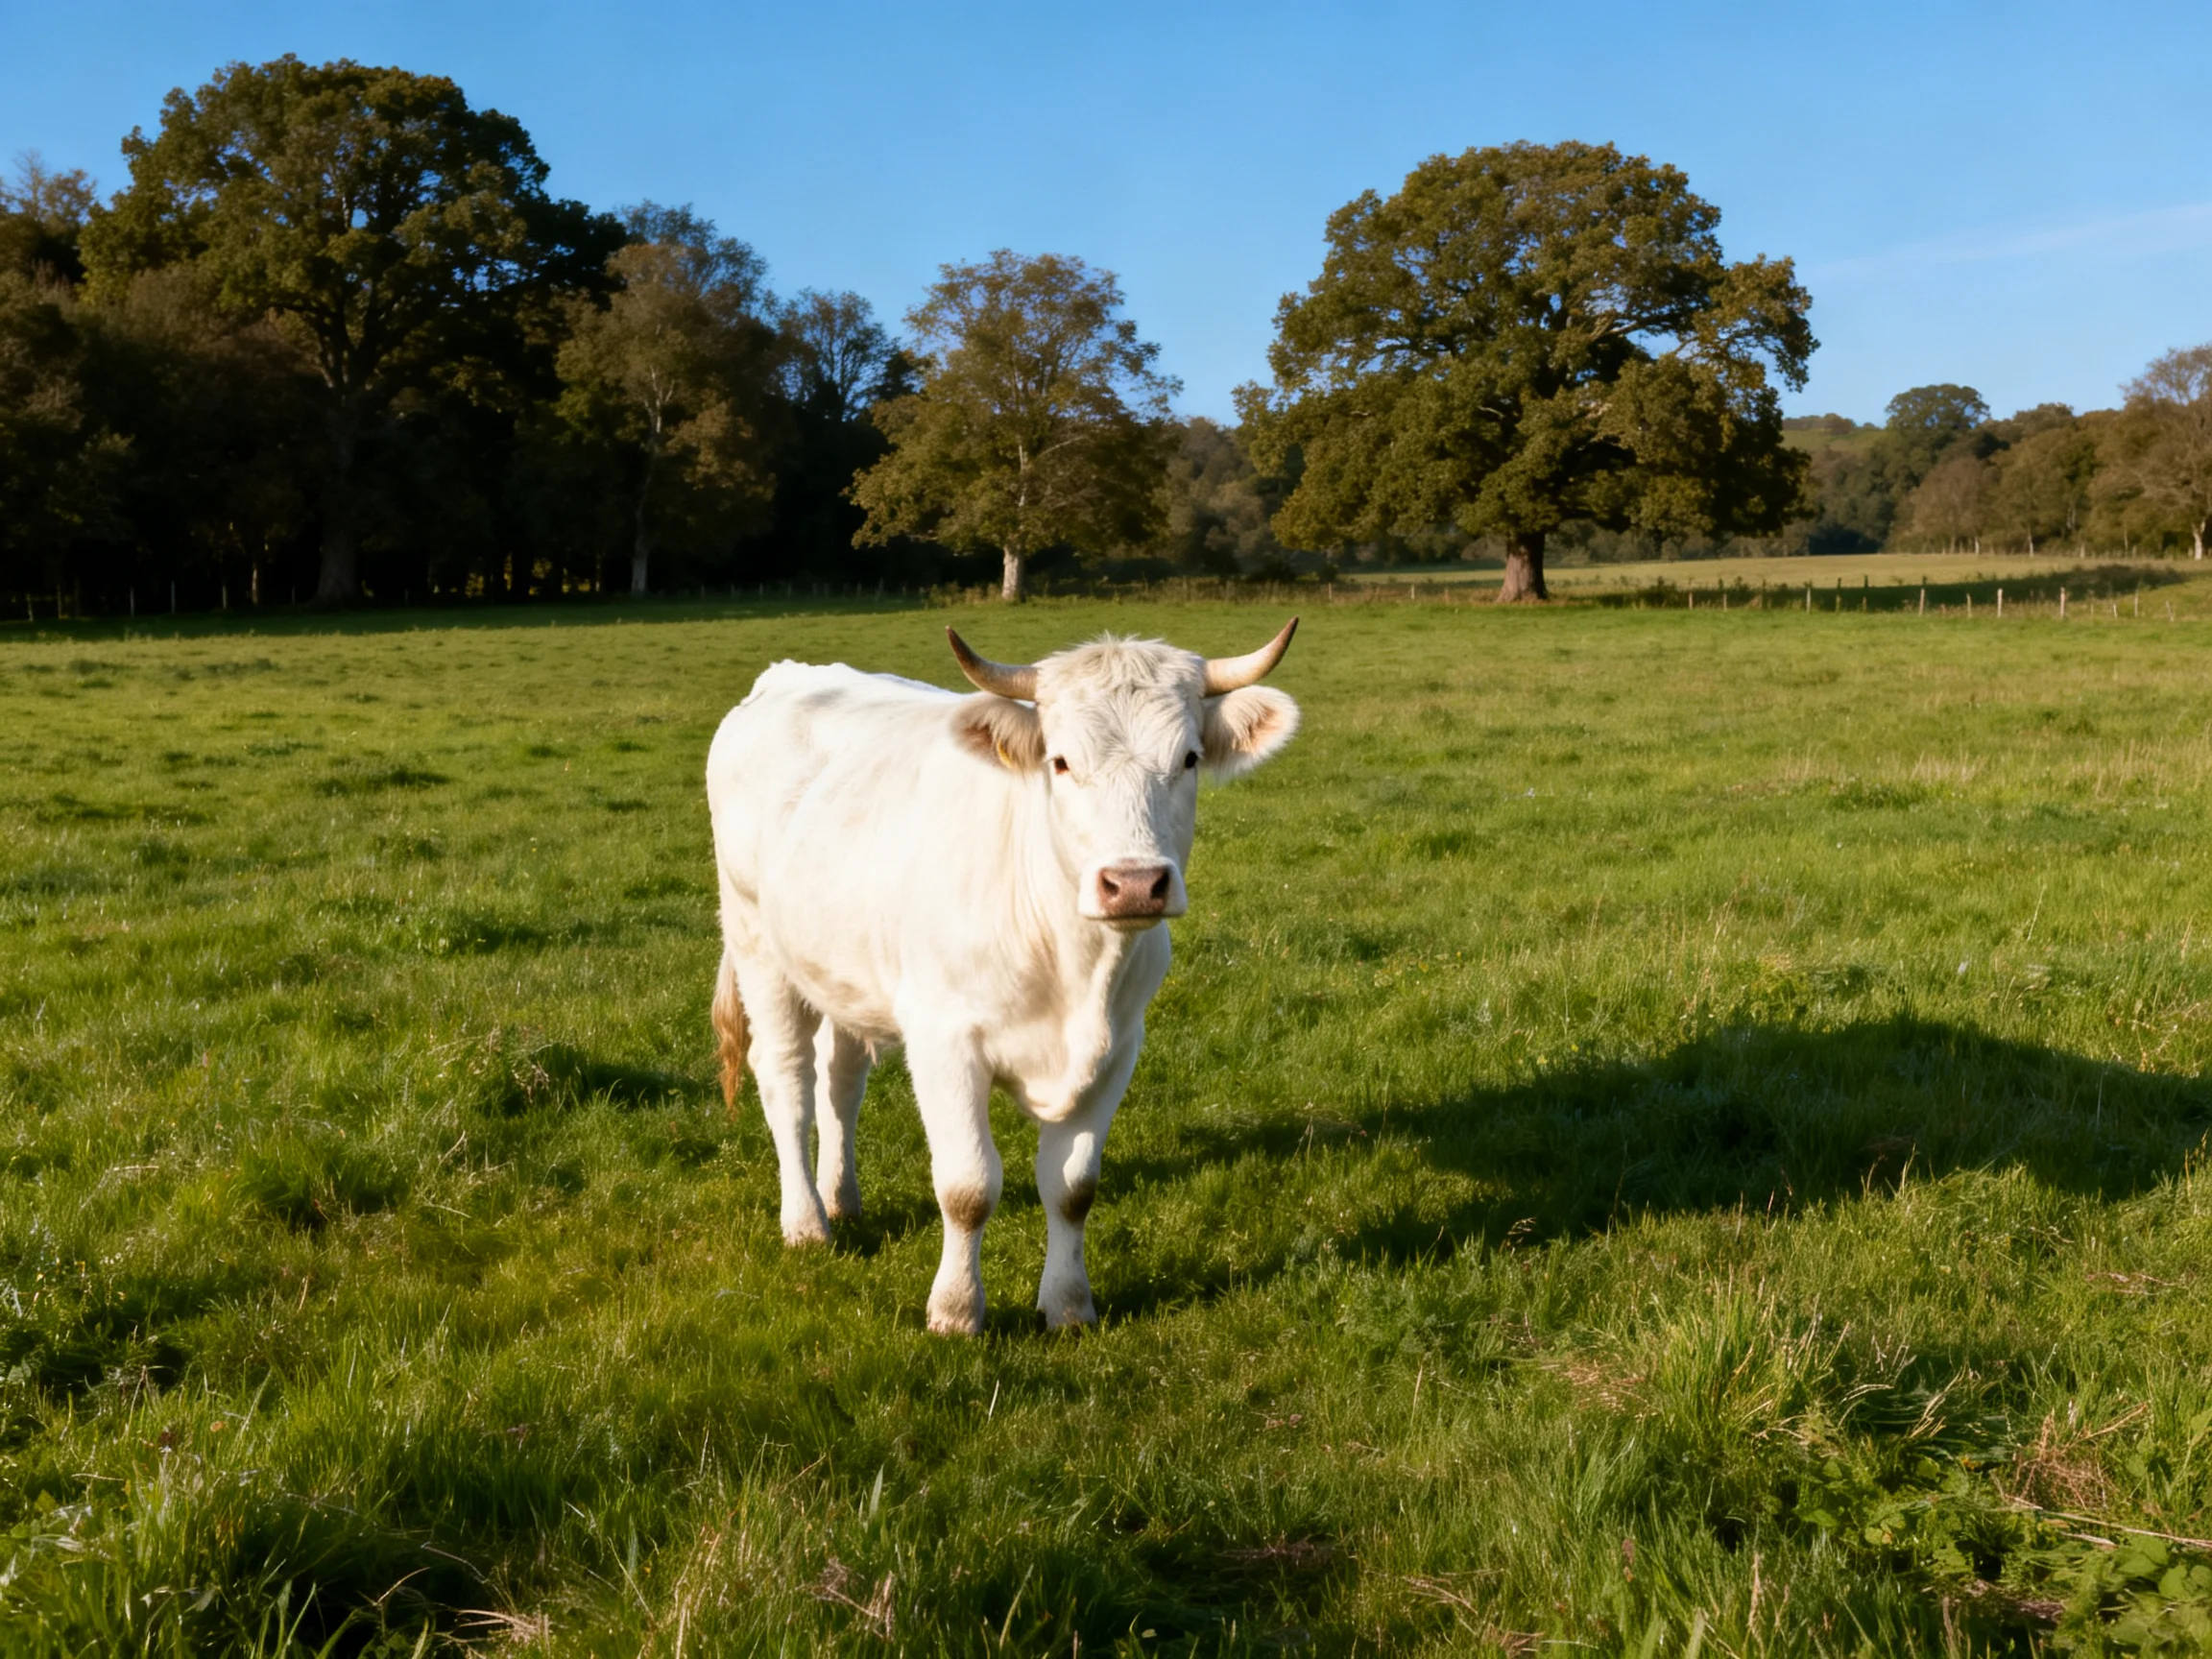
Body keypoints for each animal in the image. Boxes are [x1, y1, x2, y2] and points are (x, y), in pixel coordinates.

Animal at [704, 620, 1300, 1334]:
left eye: (1188, 759)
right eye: (1061, 762)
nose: (1133, 884)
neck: (1076, 968)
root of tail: (789, 673)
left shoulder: (1119, 1047)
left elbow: (1073, 1188)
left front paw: (1069, 1305)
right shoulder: (944, 1041)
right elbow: (968, 1186)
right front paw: (957, 1311)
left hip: (843, 968)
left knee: (839, 1079)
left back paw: (839, 1198)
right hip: (757, 944)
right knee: (786, 1079)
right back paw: (806, 1223)